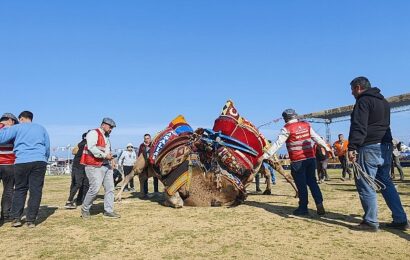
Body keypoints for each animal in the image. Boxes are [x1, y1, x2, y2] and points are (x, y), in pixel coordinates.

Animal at [116, 100, 298, 208]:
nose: (264, 143)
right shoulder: (174, 188)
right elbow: (176, 200)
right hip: (142, 159)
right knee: (132, 174)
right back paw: (120, 196)